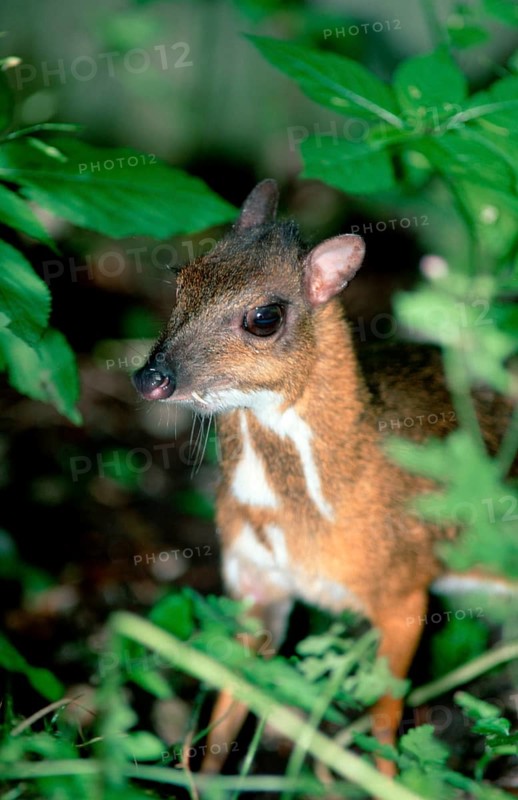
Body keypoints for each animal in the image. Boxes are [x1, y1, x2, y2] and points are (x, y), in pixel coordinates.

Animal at [132, 179, 514, 777]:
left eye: (264, 316)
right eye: (182, 280)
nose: (151, 377)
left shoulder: (403, 586)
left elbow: (383, 718)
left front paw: (384, 780)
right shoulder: (253, 580)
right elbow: (229, 705)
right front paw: (203, 780)